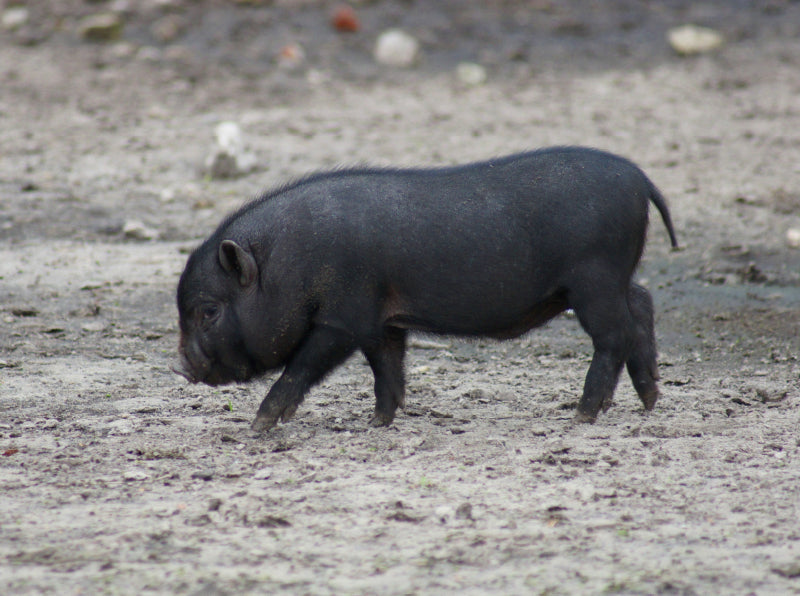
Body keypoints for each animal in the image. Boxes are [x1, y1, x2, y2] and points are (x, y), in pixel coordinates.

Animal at [175, 147, 676, 430]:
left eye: (208, 311)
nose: (180, 366)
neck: (289, 265)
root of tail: (640, 179)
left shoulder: (343, 318)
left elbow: (302, 367)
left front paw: (258, 428)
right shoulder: (383, 322)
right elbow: (387, 367)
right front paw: (377, 423)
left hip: (594, 279)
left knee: (614, 334)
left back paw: (582, 415)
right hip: (613, 278)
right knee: (642, 304)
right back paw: (648, 402)